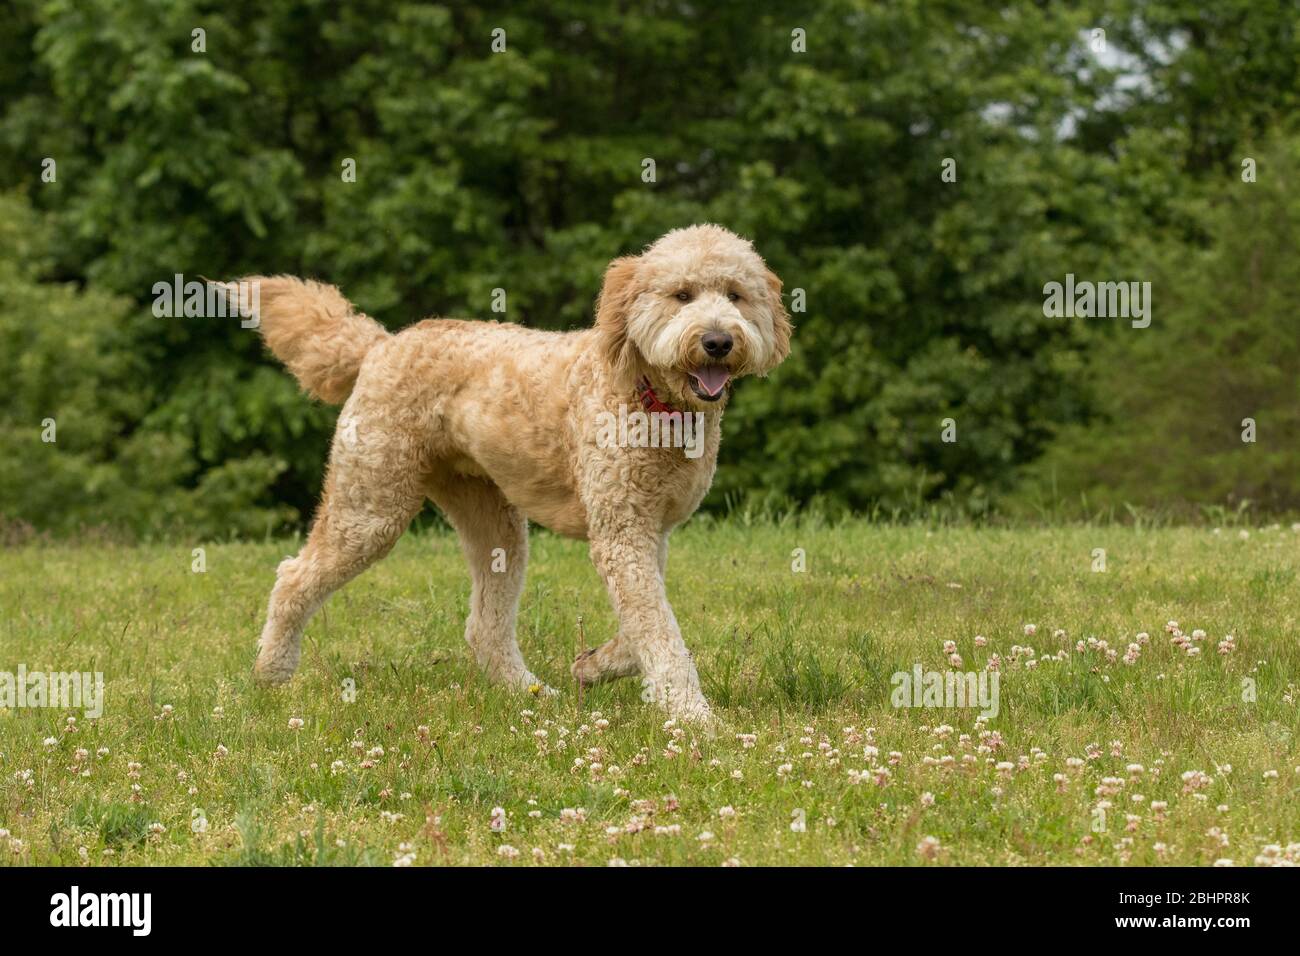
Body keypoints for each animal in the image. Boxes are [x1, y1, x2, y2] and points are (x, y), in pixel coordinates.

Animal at [244, 223, 790, 717]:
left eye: (736, 295)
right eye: (682, 295)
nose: (718, 341)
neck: (648, 396)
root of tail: (380, 345)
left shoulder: (649, 531)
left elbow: (645, 623)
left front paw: (595, 664)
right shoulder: (622, 532)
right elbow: (658, 629)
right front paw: (693, 715)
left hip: (492, 522)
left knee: (484, 627)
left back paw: (529, 693)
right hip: (371, 504)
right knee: (293, 575)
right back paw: (271, 672)